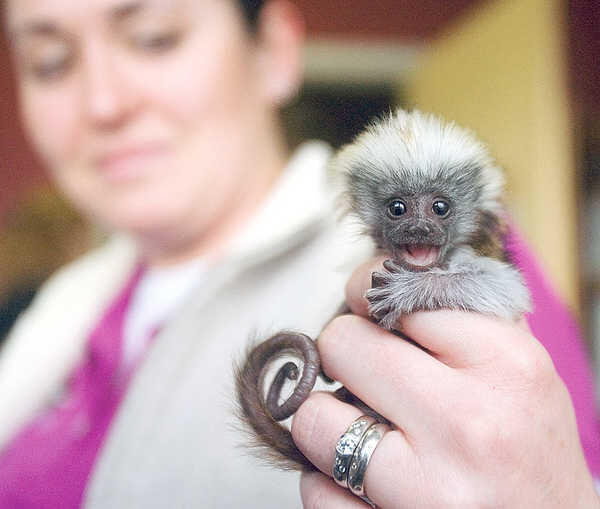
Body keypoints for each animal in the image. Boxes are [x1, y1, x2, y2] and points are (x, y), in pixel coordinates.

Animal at [234, 109, 528, 470]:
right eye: (397, 208)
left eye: (440, 207)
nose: (420, 229)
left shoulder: (472, 251)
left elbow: (507, 289)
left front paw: (408, 290)